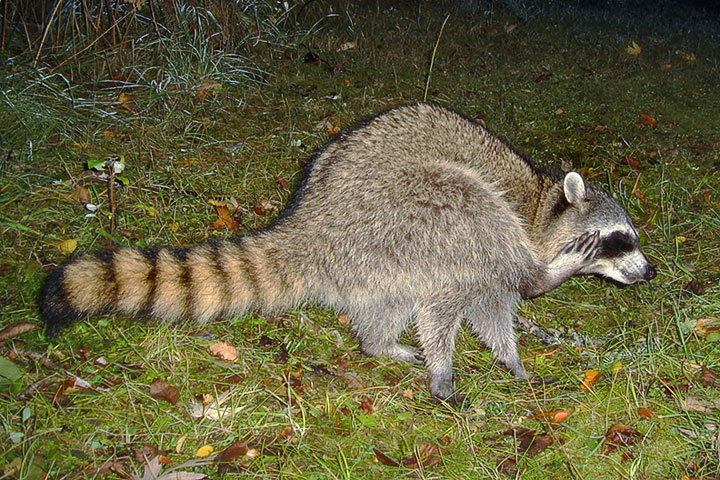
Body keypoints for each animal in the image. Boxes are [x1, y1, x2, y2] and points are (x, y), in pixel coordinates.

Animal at [42, 104, 656, 402]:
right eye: (620, 239)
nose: (649, 271)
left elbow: (491, 310)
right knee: (460, 195)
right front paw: (453, 358)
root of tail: (311, 219)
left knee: (388, 298)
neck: (540, 207)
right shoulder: (490, 246)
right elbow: (452, 305)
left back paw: (378, 343)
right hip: (399, 212)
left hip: (378, 248)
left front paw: (510, 356)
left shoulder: (489, 269)